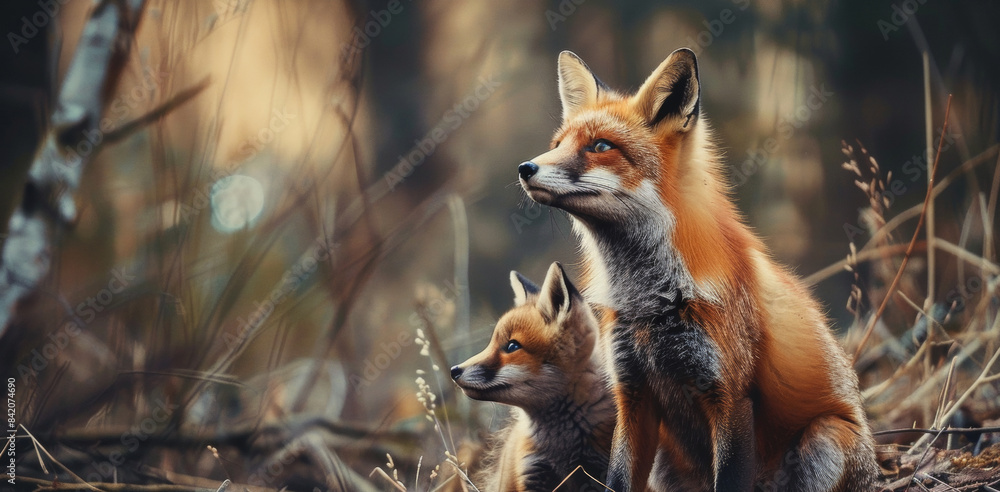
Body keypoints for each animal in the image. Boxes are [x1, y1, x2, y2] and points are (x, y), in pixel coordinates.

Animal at [450, 262, 616, 492]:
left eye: (512, 346)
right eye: (491, 343)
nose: (454, 370)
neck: (560, 444)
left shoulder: (597, 469)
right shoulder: (532, 471)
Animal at [516, 49, 879, 491]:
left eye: (600, 146)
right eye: (557, 145)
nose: (525, 168)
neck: (650, 301)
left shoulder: (729, 395)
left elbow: (731, 477)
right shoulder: (632, 394)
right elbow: (618, 477)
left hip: (825, 438)